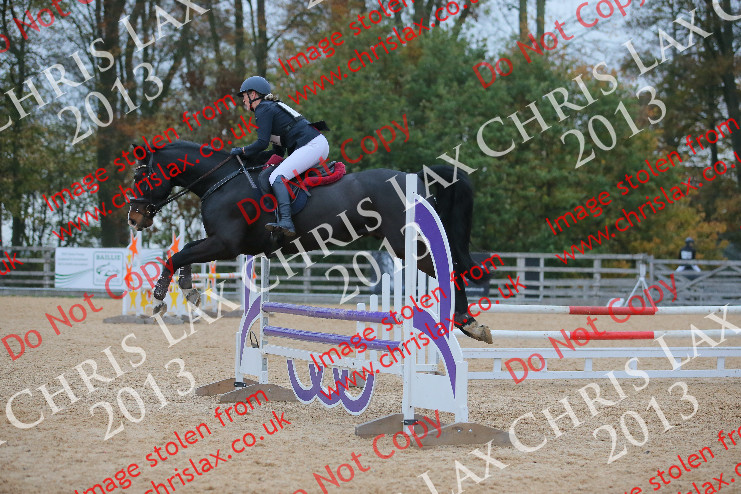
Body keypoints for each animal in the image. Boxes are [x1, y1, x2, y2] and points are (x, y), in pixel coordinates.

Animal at [126, 140, 492, 343]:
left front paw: (159, 298)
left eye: (141, 175)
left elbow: (178, 255)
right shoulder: (228, 245)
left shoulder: (226, 243)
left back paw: (467, 322)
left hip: (407, 245)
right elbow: (185, 253)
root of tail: (417, 178)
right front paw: (189, 290)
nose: (135, 218)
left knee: (452, 268)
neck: (221, 180)